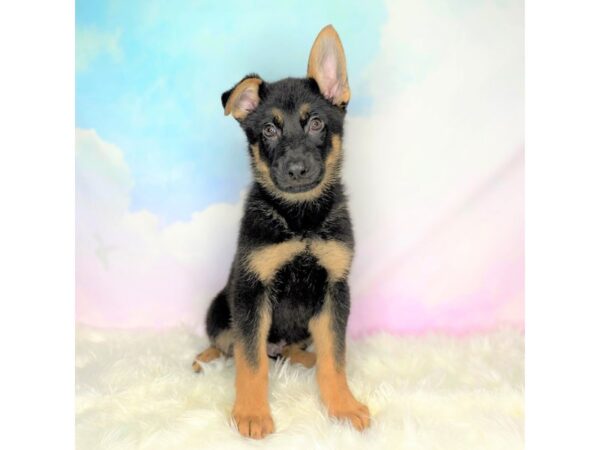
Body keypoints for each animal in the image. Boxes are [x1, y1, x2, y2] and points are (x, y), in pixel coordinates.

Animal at [192, 25, 370, 440]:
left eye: (316, 123)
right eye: (270, 129)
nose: (297, 169)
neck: (299, 219)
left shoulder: (334, 290)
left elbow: (335, 358)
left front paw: (342, 406)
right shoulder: (252, 291)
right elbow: (251, 361)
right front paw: (251, 413)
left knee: (291, 349)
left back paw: (304, 357)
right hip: (221, 305)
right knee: (229, 344)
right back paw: (206, 357)